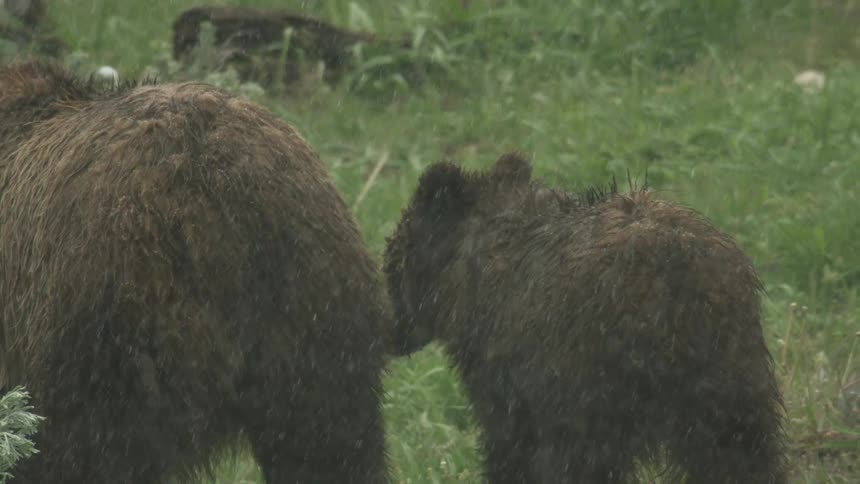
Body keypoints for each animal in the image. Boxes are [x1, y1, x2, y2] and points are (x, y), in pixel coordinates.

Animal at [383, 151, 787, 483]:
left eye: (390, 263)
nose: (389, 334)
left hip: (592, 376)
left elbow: (509, 442)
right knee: (742, 454)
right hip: (731, 370)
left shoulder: (505, 364)